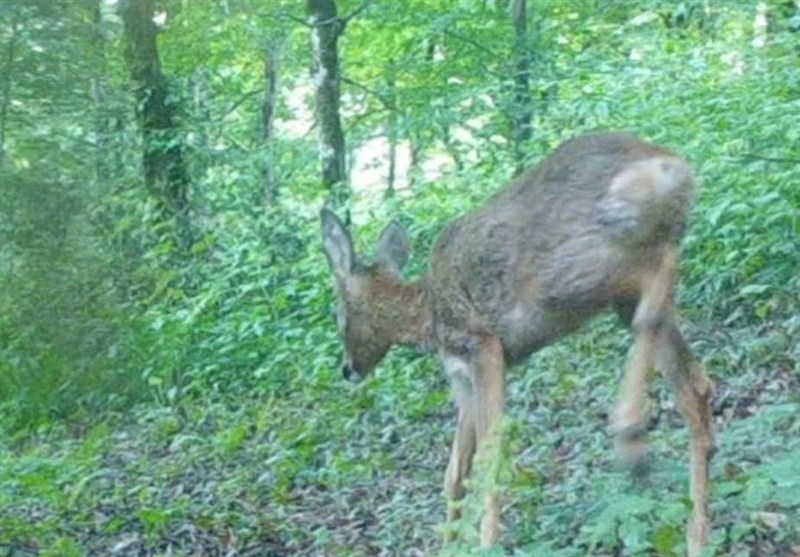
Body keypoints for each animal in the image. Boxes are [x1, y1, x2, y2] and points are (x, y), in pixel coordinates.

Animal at [320, 132, 715, 557]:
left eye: (339, 313)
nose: (347, 369)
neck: (429, 317)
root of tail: (671, 167)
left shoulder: (483, 346)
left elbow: (490, 455)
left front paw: (486, 543)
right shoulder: (462, 379)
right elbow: (455, 473)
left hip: (573, 271)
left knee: (653, 287)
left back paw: (629, 434)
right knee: (694, 386)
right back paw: (697, 534)